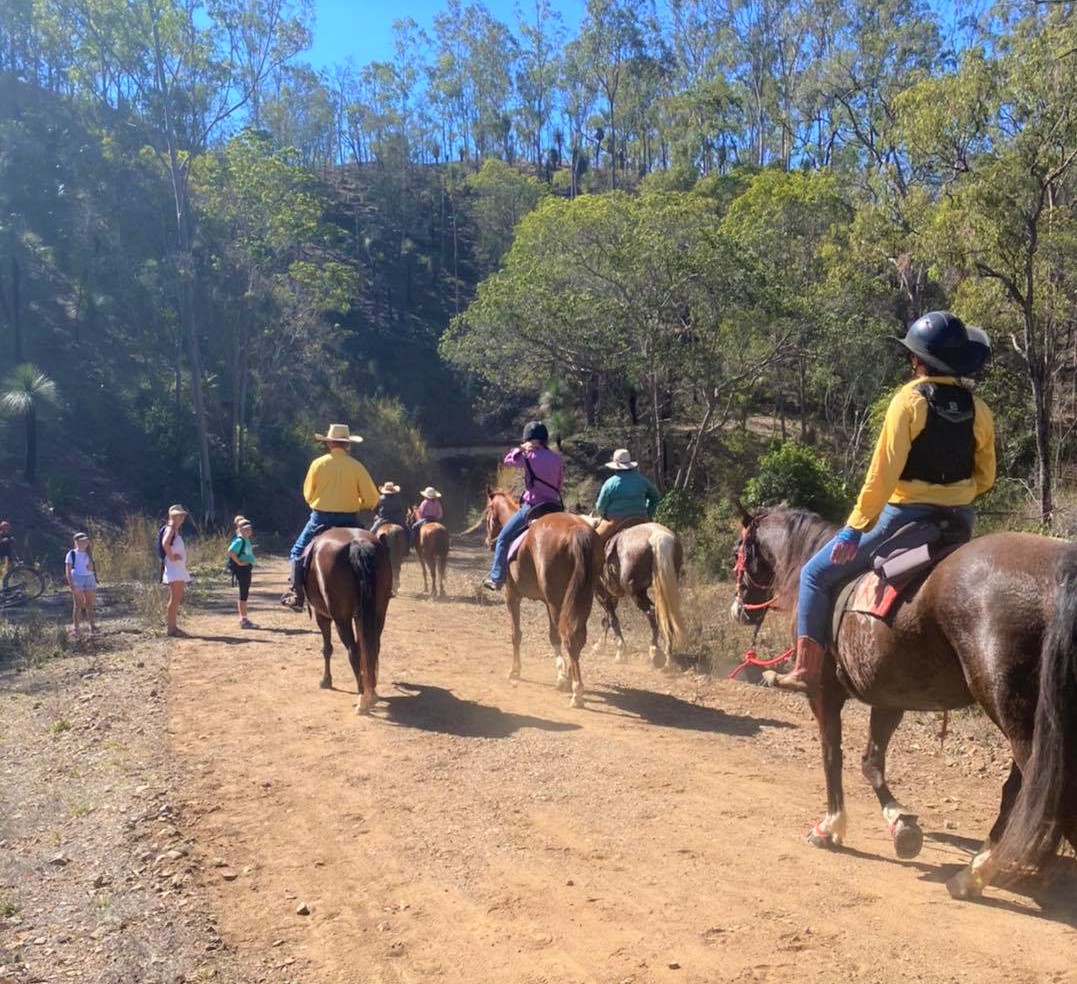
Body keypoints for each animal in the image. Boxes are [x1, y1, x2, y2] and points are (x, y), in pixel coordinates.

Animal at [303, 529, 392, 714]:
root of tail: (357, 543)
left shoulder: (321, 615)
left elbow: (327, 649)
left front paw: (326, 681)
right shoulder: (360, 616)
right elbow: (366, 648)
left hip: (341, 619)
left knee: (353, 651)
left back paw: (362, 699)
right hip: (379, 612)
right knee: (373, 647)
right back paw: (371, 692)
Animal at [484, 484, 603, 701]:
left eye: (488, 511)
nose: (489, 541)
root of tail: (576, 529)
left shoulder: (513, 595)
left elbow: (516, 634)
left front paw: (515, 670)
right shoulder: (548, 602)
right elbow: (551, 635)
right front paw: (562, 673)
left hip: (558, 601)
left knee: (568, 636)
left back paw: (576, 689)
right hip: (581, 598)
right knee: (577, 636)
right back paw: (574, 681)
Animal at [585, 514, 684, 667]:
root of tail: (657, 537)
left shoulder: (600, 592)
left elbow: (612, 618)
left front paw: (620, 651)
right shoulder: (612, 594)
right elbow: (607, 618)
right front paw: (600, 646)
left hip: (636, 592)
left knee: (652, 613)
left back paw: (654, 651)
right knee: (665, 614)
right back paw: (668, 657)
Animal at [732, 505, 1077, 895]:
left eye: (737, 552)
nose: (740, 610)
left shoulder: (823, 694)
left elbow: (832, 755)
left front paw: (831, 826)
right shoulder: (888, 698)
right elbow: (871, 763)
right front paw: (902, 825)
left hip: (1018, 720)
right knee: (1018, 792)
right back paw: (976, 871)